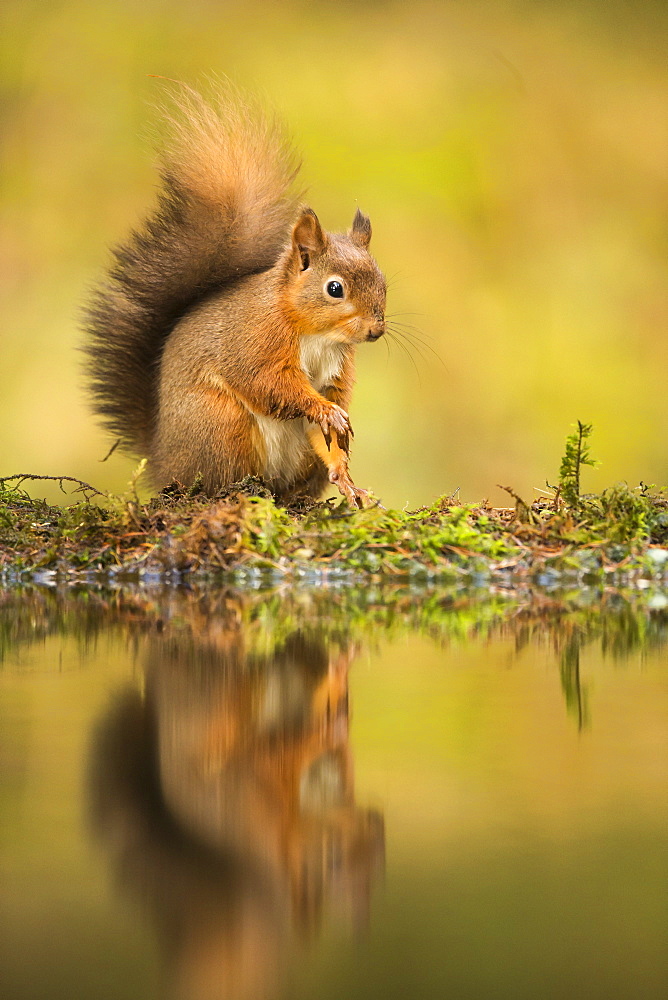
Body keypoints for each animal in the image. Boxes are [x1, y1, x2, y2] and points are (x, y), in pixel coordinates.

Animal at [83, 87, 386, 508]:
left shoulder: (336, 372)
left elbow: (328, 434)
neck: (316, 334)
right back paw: (240, 492)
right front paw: (325, 411)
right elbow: (268, 383)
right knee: (219, 478)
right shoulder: (254, 341)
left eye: (382, 280)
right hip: (222, 424)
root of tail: (163, 462)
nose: (376, 330)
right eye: (335, 288)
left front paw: (346, 476)